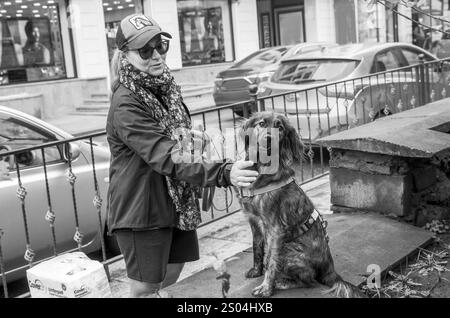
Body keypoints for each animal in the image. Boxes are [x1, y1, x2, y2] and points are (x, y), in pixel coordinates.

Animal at [236, 112, 366, 298]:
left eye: (280, 127)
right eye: (261, 124)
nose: (269, 139)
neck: (262, 171)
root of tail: (330, 270)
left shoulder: (275, 229)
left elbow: (271, 261)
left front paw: (266, 288)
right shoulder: (254, 221)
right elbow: (257, 248)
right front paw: (256, 271)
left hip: (288, 249)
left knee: (309, 280)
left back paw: (281, 282)